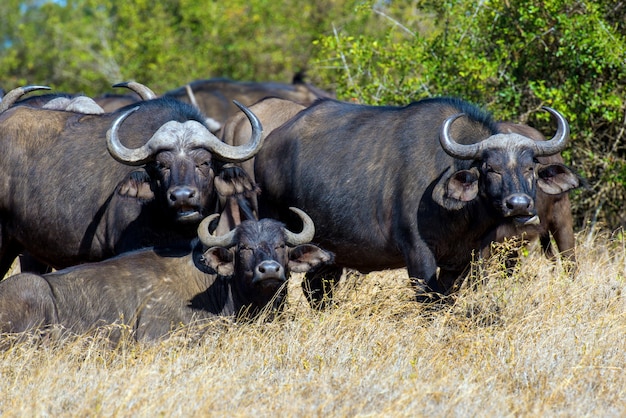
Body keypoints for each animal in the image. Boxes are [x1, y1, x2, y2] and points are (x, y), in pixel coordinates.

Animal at [254, 96, 580, 306]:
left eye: (530, 168)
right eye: (490, 168)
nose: (519, 205)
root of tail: (269, 146)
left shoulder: (464, 259)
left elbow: (447, 299)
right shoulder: (418, 253)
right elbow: (428, 300)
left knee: (317, 290)